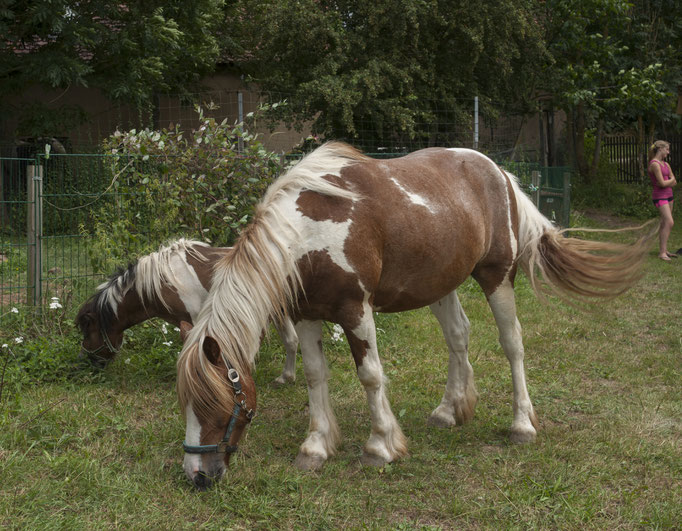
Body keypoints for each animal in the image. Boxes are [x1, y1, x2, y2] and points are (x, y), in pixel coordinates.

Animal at [174, 142, 648, 490]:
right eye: (186, 403)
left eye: (215, 404)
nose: (197, 476)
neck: (305, 233)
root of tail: (499, 172)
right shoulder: (307, 314)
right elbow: (313, 375)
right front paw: (315, 447)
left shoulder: (356, 310)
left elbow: (370, 376)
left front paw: (380, 446)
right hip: (442, 285)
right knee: (459, 337)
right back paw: (448, 410)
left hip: (497, 277)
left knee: (512, 344)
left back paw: (521, 425)